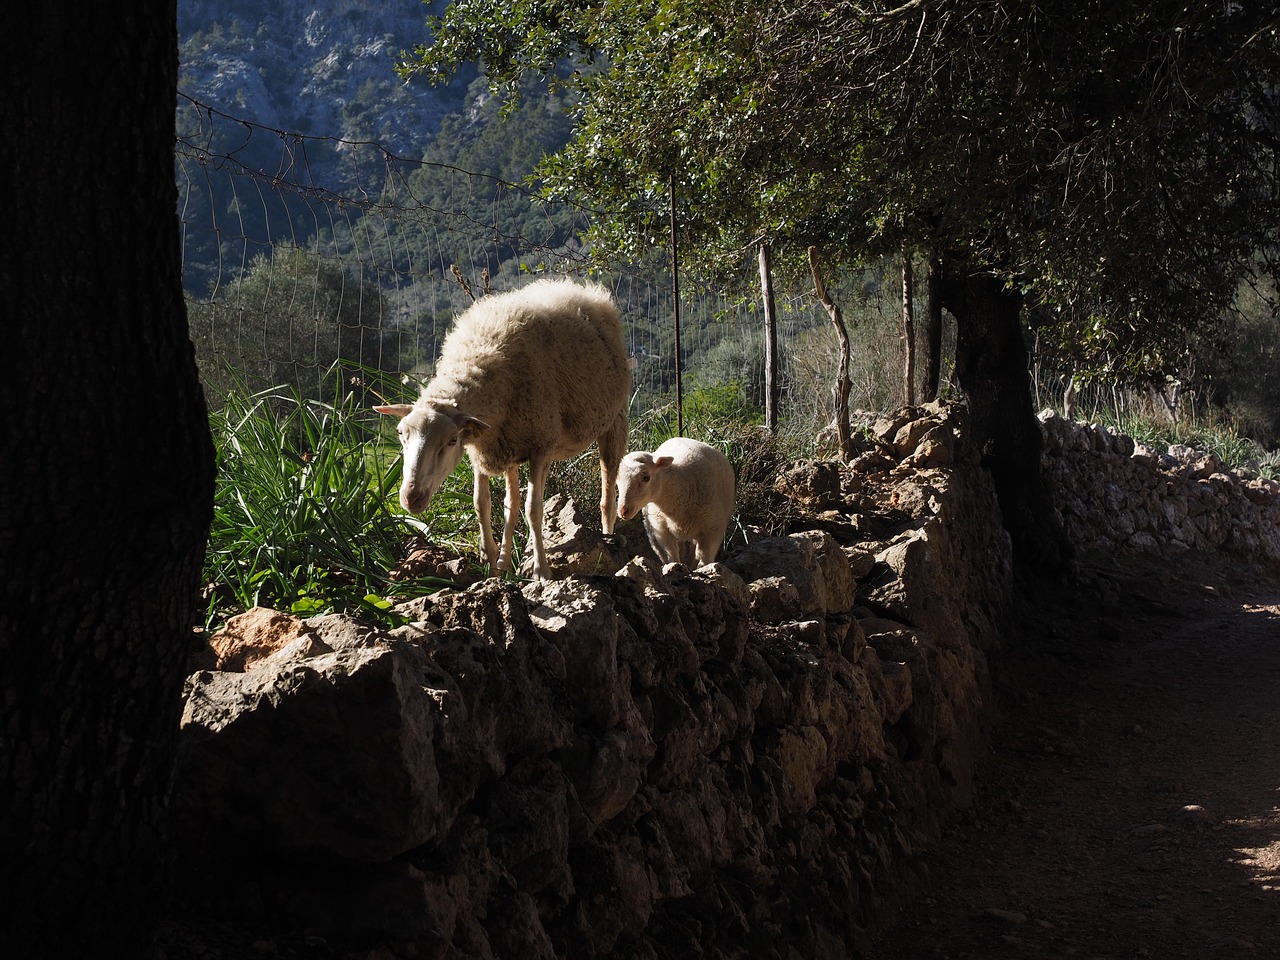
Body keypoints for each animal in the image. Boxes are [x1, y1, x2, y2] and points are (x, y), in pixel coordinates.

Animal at [373, 273, 629, 583]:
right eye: (401, 434)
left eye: (450, 441)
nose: (411, 499)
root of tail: (584, 291)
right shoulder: (482, 449)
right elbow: (482, 504)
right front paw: (493, 565)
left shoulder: (539, 447)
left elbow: (534, 509)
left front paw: (541, 571)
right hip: (515, 445)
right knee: (511, 503)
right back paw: (507, 560)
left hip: (614, 420)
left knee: (607, 494)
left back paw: (609, 539)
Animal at [614, 437, 737, 568]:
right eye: (617, 479)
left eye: (646, 477)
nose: (623, 510)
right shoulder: (662, 530)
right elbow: (672, 555)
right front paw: (675, 567)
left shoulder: (713, 531)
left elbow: (705, 559)